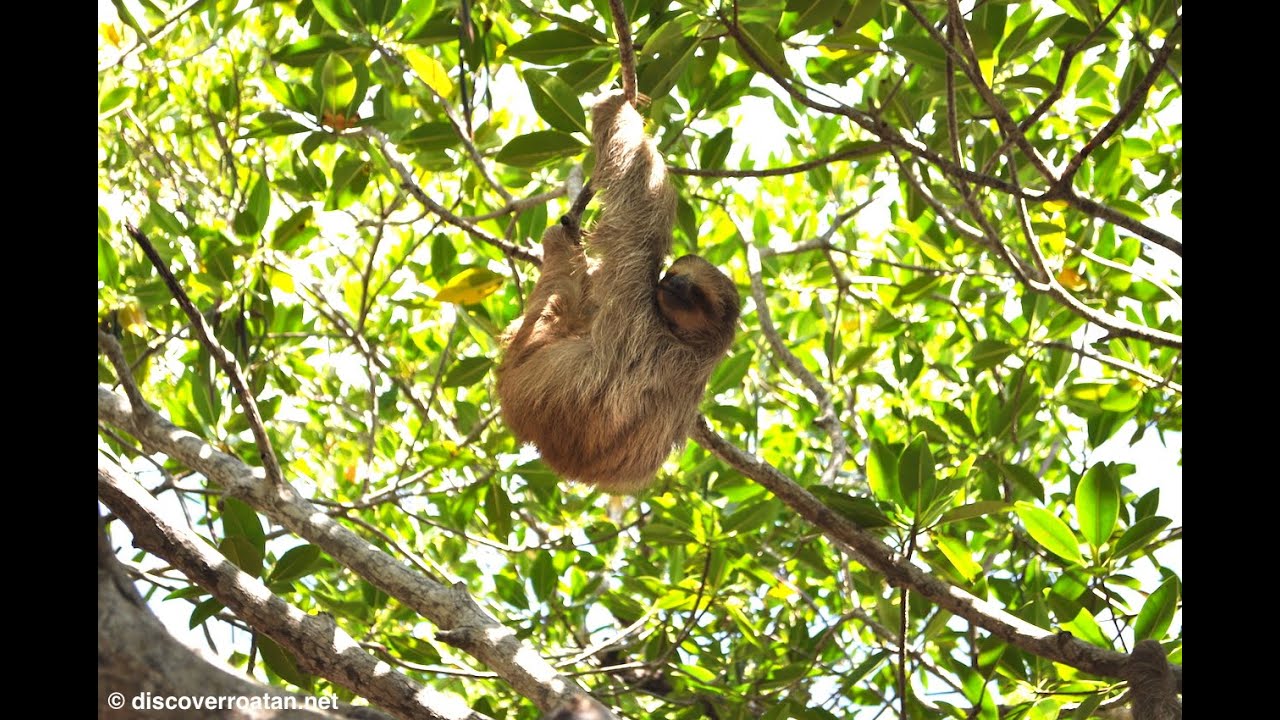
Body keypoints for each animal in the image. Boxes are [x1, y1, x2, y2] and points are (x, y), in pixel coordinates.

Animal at [497, 91, 741, 494]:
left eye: (696, 294)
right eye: (676, 274)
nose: (673, 284)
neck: (687, 342)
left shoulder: (636, 297)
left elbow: (641, 202)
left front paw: (615, 107)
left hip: (524, 361)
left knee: (555, 297)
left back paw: (561, 244)